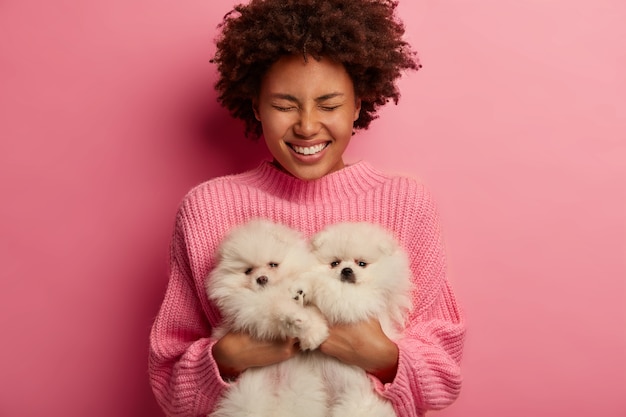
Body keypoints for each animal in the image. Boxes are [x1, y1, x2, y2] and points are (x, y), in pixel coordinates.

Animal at [206, 218, 332, 416]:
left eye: (273, 264)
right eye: (248, 271)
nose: (262, 278)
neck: (276, 289)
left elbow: (312, 310)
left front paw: (314, 332)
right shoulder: (251, 309)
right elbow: (278, 307)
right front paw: (295, 318)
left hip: (301, 394)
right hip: (247, 398)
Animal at [304, 223, 412, 416]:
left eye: (361, 263)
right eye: (335, 263)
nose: (346, 270)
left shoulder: (358, 301)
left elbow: (329, 288)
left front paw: (311, 281)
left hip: (358, 404)